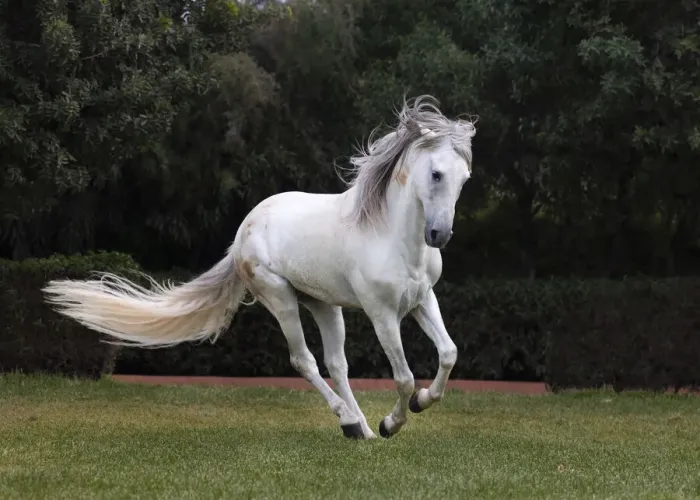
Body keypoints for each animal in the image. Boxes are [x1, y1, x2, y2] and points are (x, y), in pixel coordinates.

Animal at [42, 95, 477, 440]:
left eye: (464, 178)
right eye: (436, 173)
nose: (439, 234)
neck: (390, 236)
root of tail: (243, 232)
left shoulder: (422, 301)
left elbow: (449, 353)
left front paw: (421, 402)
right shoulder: (382, 314)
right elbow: (404, 377)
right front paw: (393, 423)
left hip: (323, 303)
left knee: (336, 364)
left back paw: (360, 429)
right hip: (280, 297)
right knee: (304, 361)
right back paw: (354, 423)